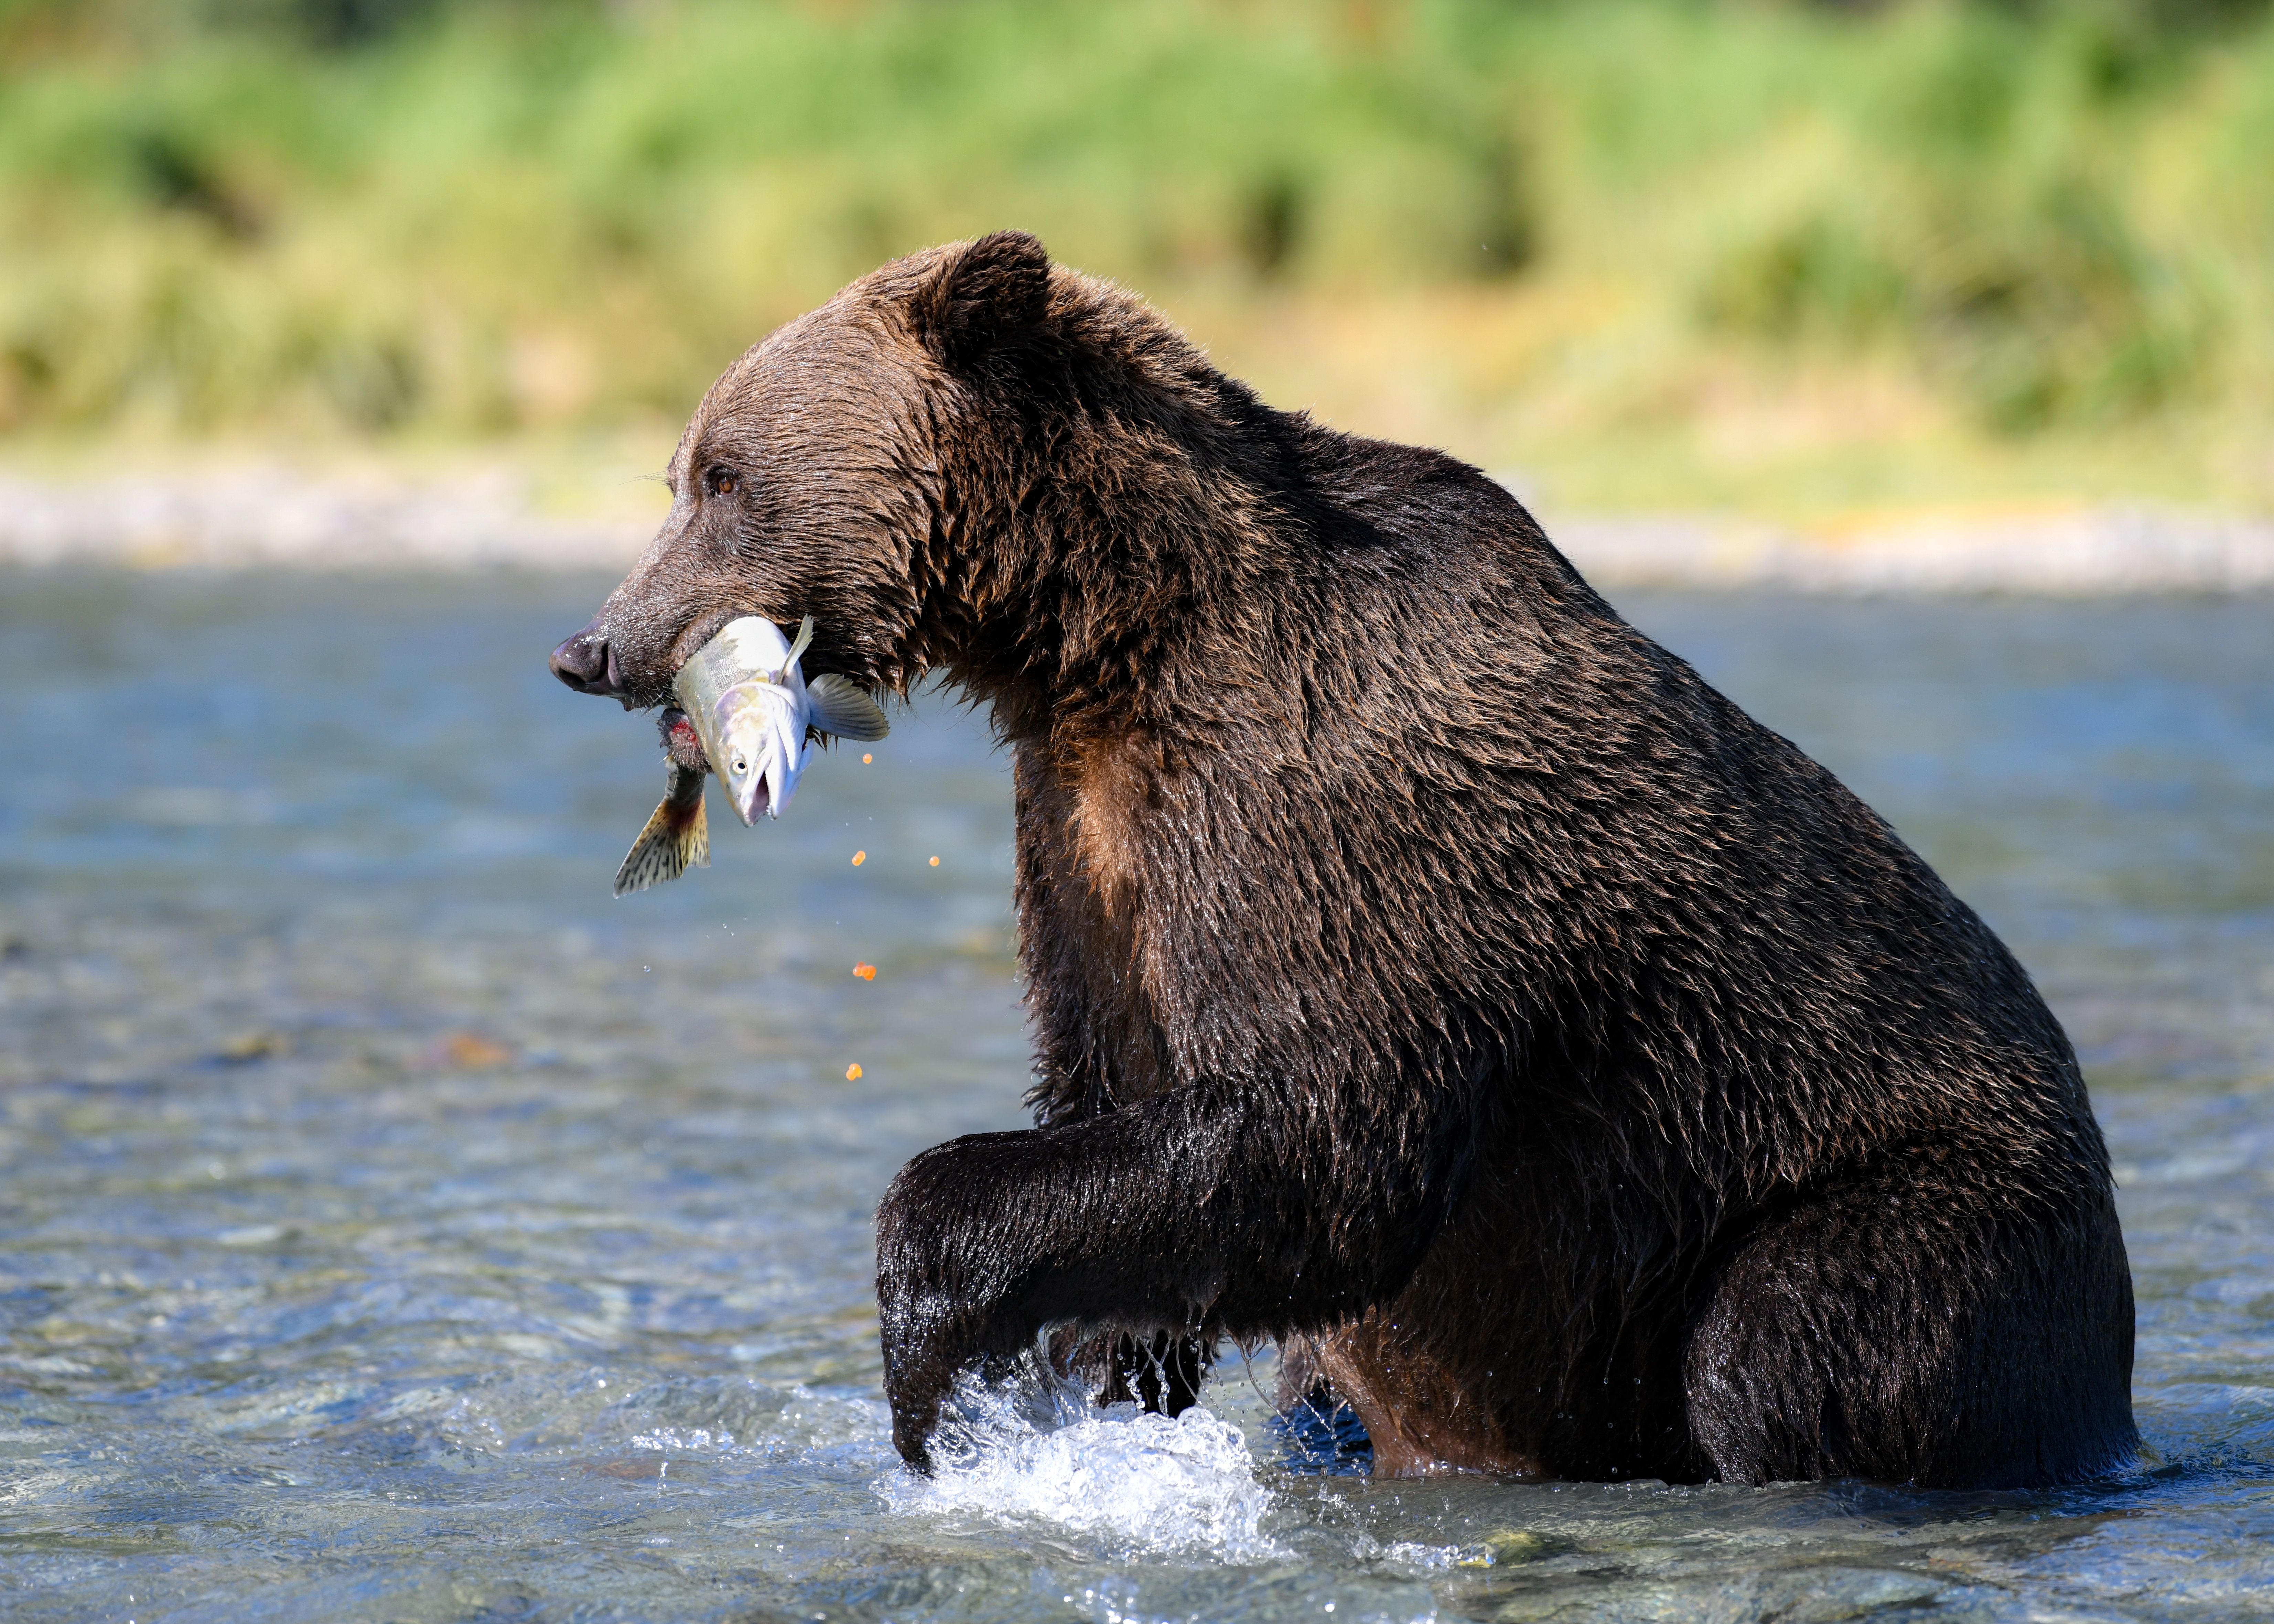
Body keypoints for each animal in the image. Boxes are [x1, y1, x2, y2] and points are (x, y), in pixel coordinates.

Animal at [550, 231, 2138, 1488]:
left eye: (720, 477)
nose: (593, 646)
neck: (1109, 635)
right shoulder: (1084, 839)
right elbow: (1119, 1099)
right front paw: (1081, 1373)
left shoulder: (1333, 805)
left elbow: (1323, 1137)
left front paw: (930, 1348)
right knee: (1327, 1385)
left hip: (1902, 1199)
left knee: (1785, 1338)